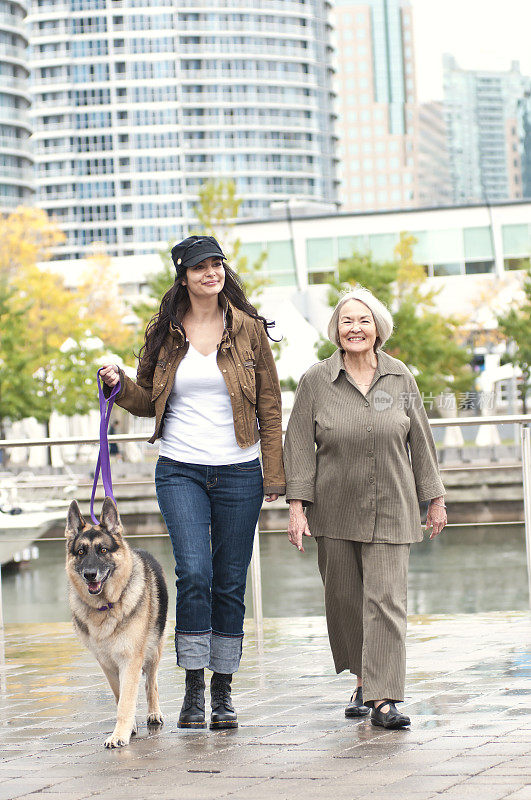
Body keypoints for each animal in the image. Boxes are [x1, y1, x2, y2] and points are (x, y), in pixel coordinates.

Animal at [65, 496, 168, 748]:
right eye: (81, 552)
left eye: (103, 550)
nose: (90, 574)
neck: (107, 606)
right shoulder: (107, 665)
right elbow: (121, 697)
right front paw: (129, 727)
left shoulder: (130, 661)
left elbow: (127, 701)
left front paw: (119, 734)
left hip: (154, 652)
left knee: (151, 684)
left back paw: (154, 713)